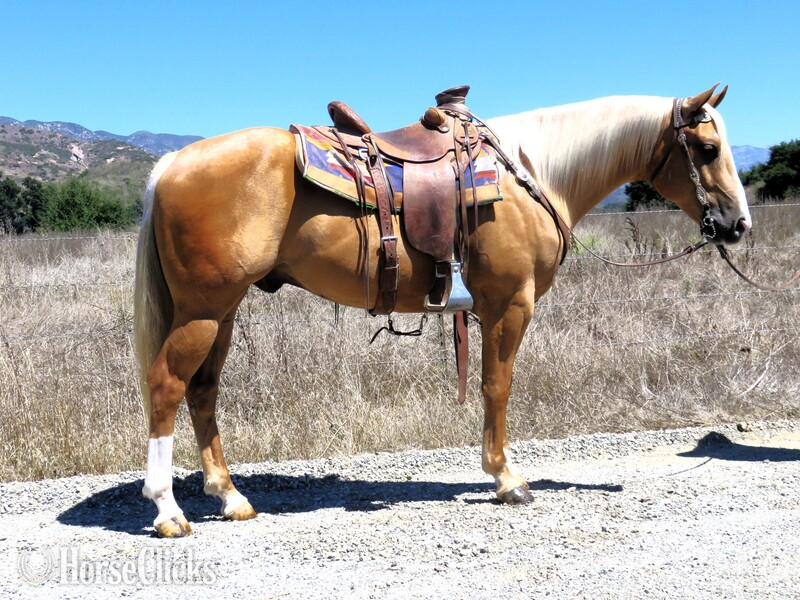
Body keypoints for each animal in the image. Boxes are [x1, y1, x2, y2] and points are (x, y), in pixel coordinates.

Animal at [134, 84, 751, 537]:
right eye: (707, 149)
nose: (738, 224)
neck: (531, 175)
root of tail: (171, 164)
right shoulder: (510, 304)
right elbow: (496, 386)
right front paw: (506, 478)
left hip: (221, 311)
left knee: (203, 390)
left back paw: (230, 496)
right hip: (203, 311)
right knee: (167, 385)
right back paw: (167, 511)